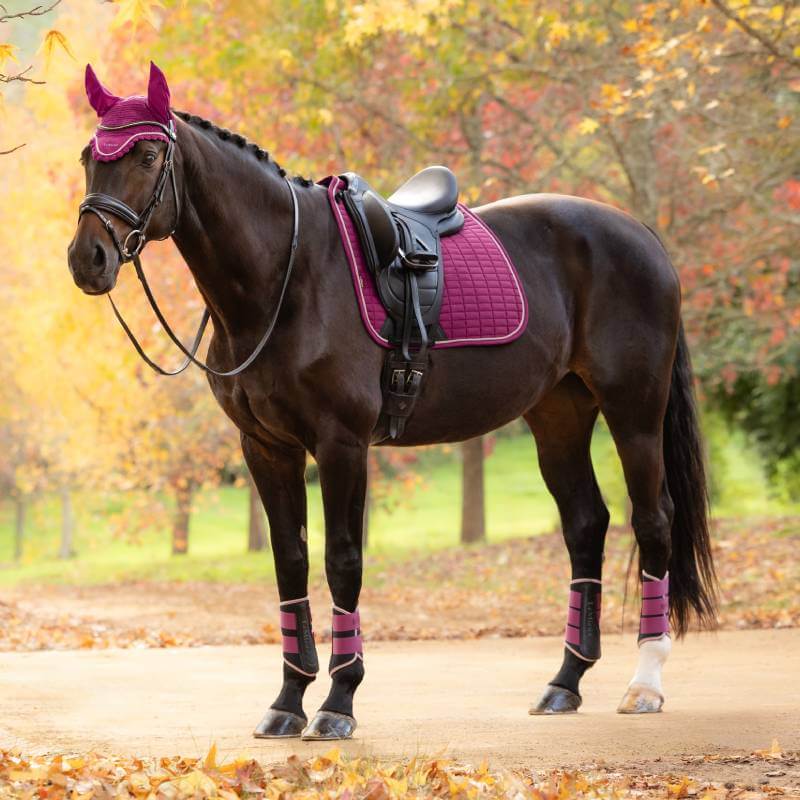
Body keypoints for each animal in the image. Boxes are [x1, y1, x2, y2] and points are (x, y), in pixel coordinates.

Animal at [67, 63, 717, 740]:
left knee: (654, 521)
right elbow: (290, 562)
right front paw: (288, 700)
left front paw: (337, 702)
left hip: (634, 411)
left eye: (146, 155)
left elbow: (342, 561)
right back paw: (565, 682)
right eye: (89, 156)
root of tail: (639, 232)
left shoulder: (342, 444)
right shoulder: (266, 448)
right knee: (586, 524)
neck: (287, 277)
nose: (88, 259)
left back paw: (645, 682)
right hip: (558, 417)